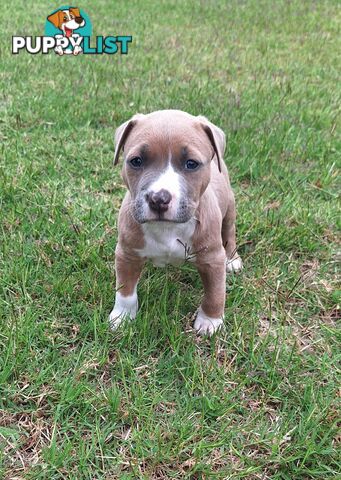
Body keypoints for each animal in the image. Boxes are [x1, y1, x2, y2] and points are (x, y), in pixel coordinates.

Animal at [109, 109, 242, 336]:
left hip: (229, 209)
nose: (159, 198)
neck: (167, 228)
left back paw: (232, 260)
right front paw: (122, 317)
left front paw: (210, 321)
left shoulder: (212, 258)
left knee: (229, 233)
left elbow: (215, 292)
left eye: (191, 164)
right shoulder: (127, 253)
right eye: (136, 161)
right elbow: (125, 290)